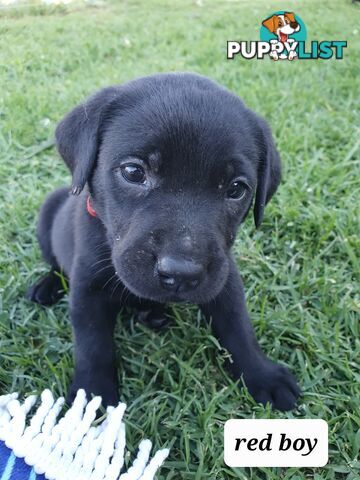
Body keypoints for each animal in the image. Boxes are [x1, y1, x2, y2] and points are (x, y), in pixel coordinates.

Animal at [26, 73, 300, 410]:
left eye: (236, 189)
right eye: (133, 171)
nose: (181, 274)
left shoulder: (224, 279)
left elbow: (238, 327)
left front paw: (262, 374)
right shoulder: (88, 288)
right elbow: (93, 345)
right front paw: (92, 395)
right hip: (48, 213)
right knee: (54, 264)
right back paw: (47, 286)